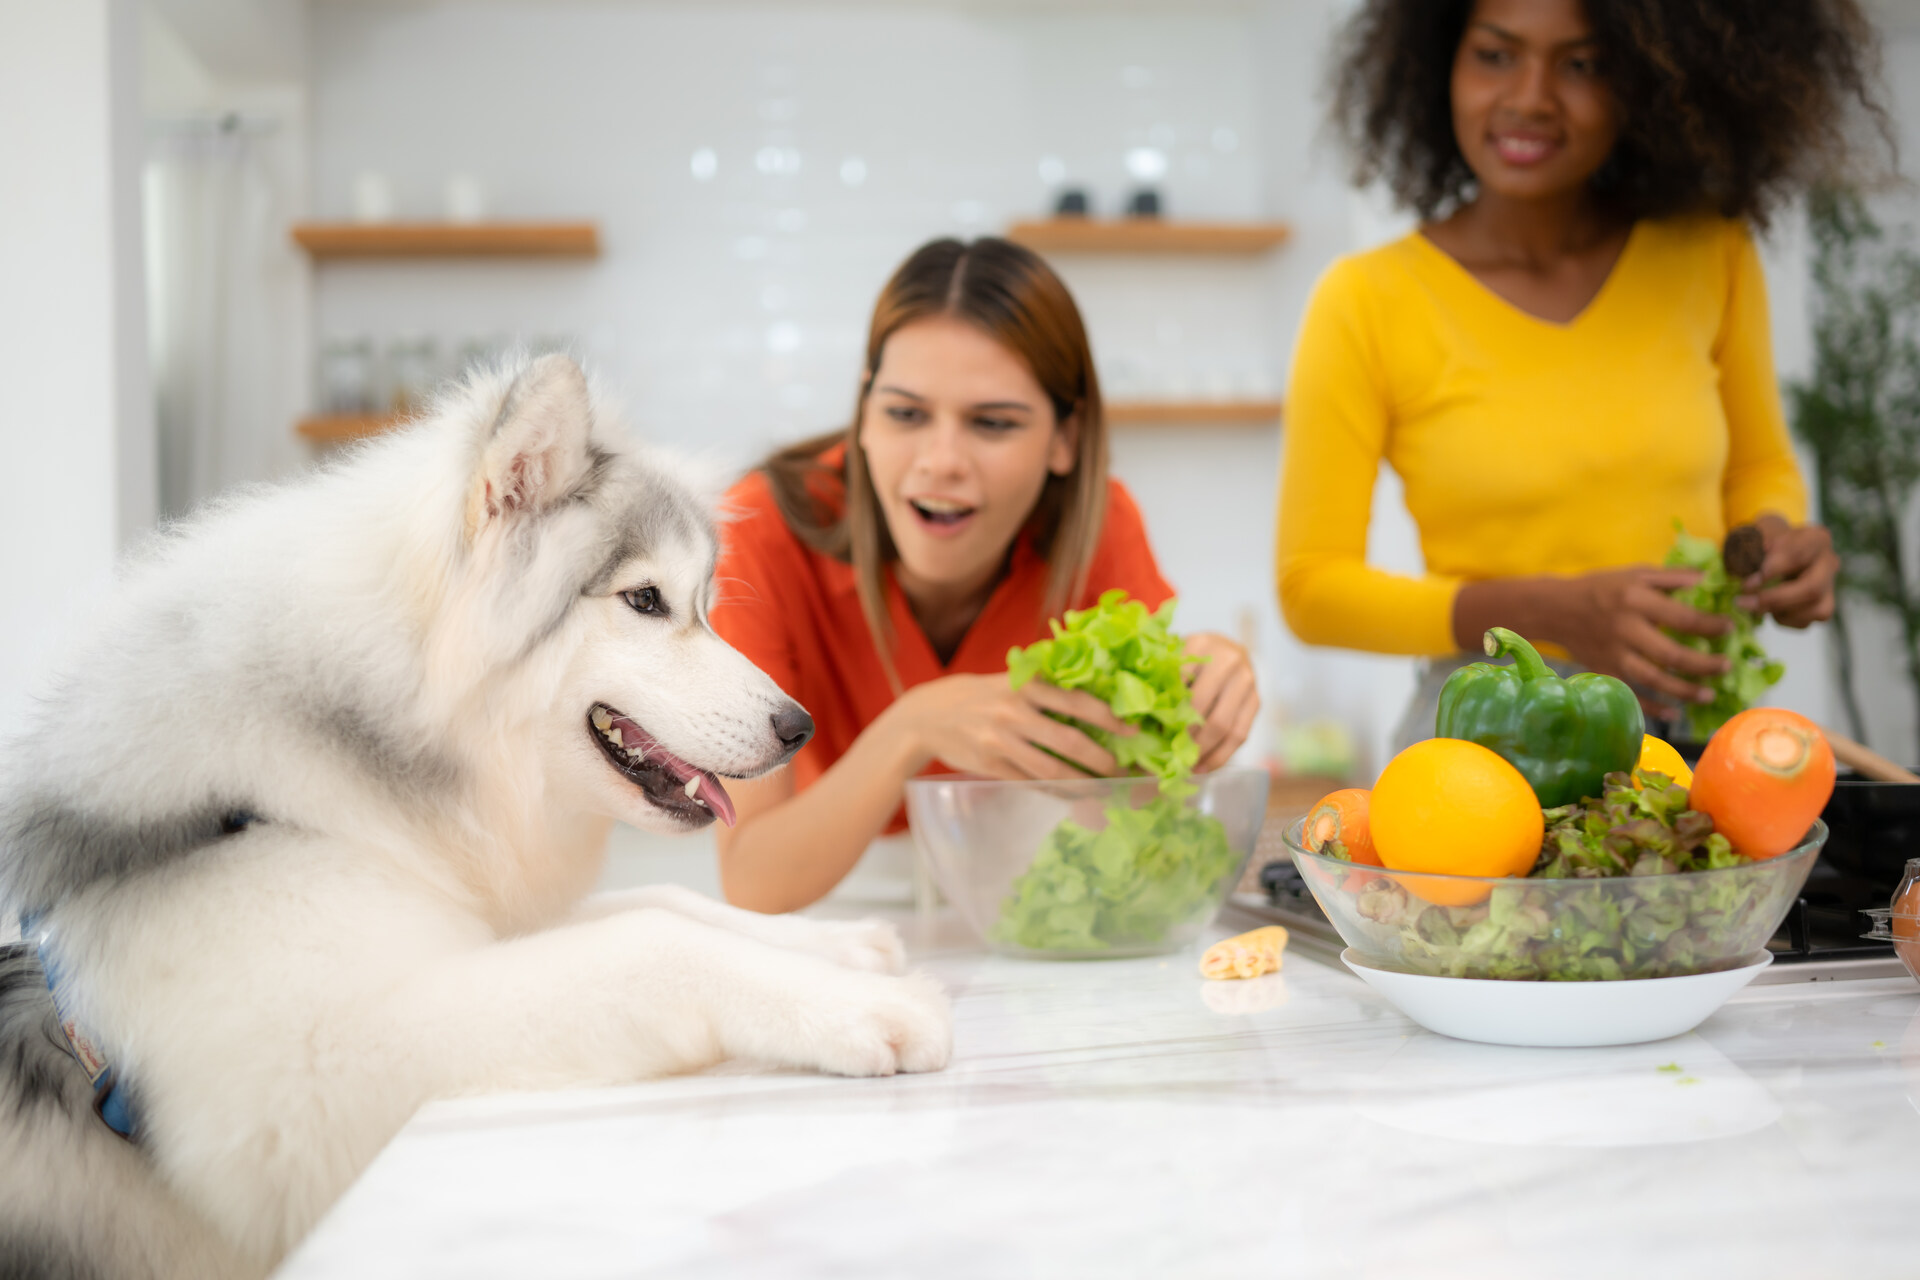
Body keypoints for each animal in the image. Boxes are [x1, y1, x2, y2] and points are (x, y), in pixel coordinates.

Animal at [0, 353, 952, 1280]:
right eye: (645, 601)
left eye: (706, 605)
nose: (800, 729)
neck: (298, 791)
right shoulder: (313, 1071)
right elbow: (652, 943)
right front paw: (865, 1006)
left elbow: (667, 905)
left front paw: (842, 946)